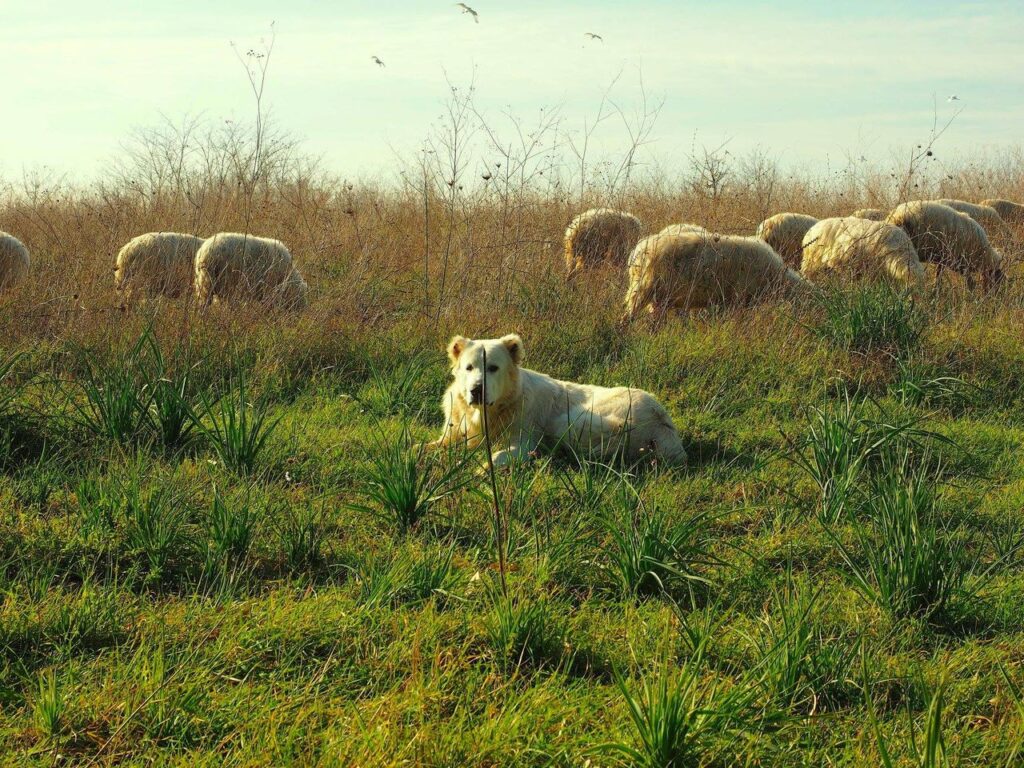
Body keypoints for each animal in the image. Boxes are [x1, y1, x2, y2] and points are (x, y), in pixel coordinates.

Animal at [423, 335, 688, 468]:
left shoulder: (524, 438)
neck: (489, 411)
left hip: (573, 420)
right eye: (469, 367)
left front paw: (480, 466)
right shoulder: (455, 429)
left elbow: (500, 455)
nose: (476, 391)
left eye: (493, 368)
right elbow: (430, 445)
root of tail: (662, 417)